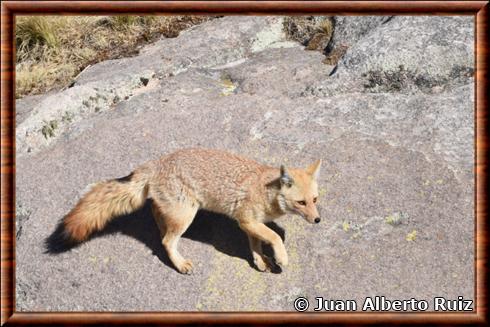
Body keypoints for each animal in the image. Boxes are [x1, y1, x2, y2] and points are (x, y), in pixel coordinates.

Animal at [60, 149, 322, 274]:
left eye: (315, 199)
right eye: (301, 203)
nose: (318, 219)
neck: (265, 189)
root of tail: (154, 163)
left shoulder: (250, 223)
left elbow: (256, 243)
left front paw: (260, 260)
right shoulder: (246, 220)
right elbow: (275, 237)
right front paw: (281, 257)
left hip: (175, 210)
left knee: (158, 220)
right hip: (186, 215)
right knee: (167, 241)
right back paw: (179, 264)